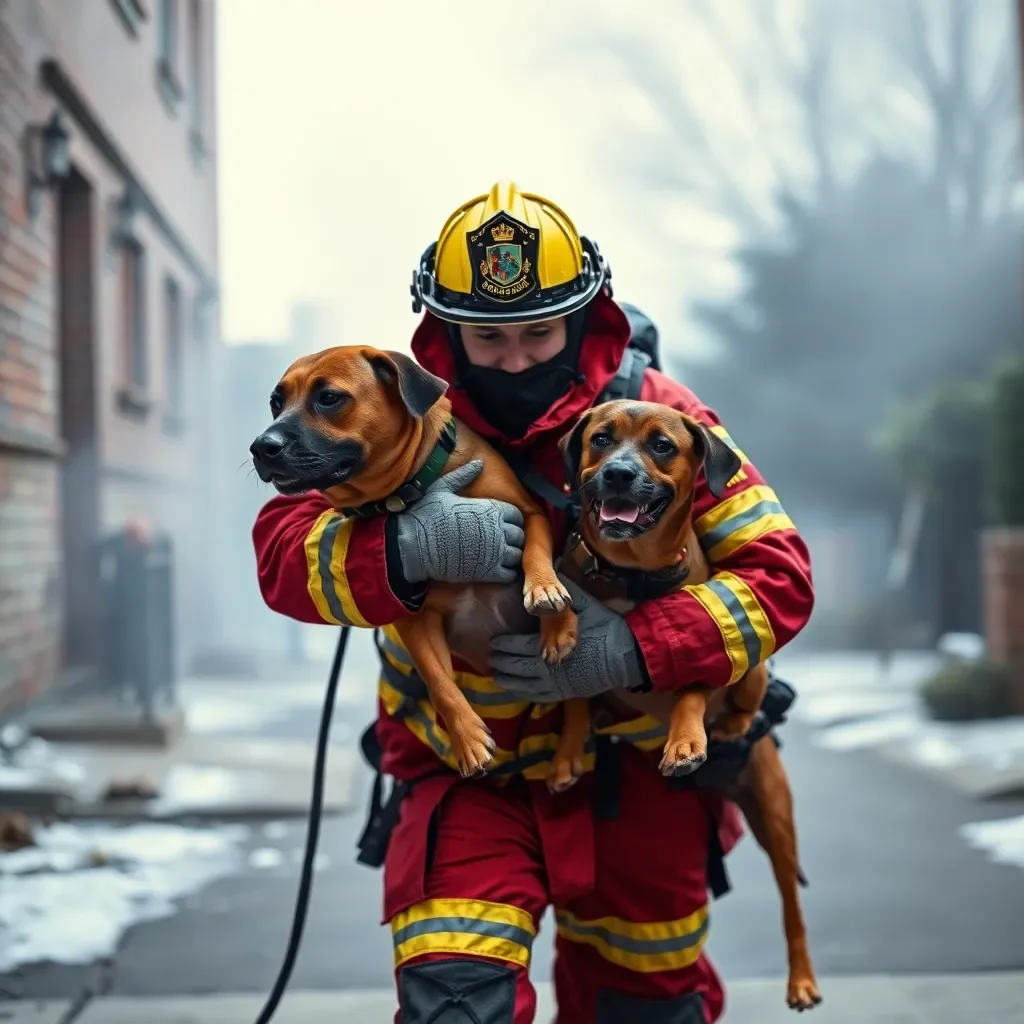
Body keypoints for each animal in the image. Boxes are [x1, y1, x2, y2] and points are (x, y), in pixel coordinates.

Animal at [248, 344, 581, 774]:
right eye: (277, 402)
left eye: (329, 398)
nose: (261, 447)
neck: (413, 487)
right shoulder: (417, 622)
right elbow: (440, 683)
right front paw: (467, 740)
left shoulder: (529, 515)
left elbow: (538, 556)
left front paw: (550, 605)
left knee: (579, 699)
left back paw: (569, 753)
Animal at [548, 395, 819, 1011]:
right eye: (601, 439)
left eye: (661, 445)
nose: (618, 474)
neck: (632, 570)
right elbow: (574, 695)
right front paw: (569, 752)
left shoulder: (705, 634)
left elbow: (693, 682)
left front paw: (685, 740)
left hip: (774, 804)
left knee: (793, 908)